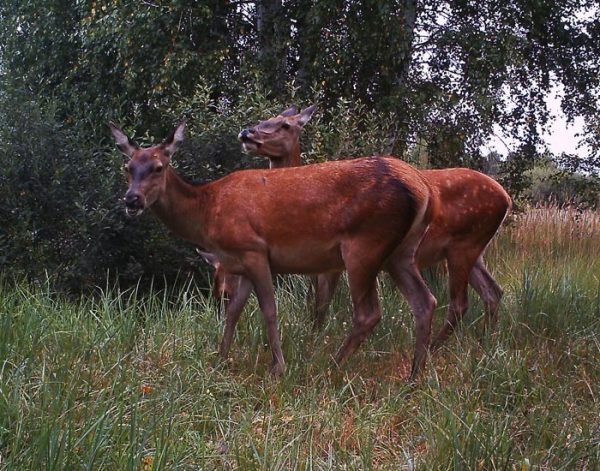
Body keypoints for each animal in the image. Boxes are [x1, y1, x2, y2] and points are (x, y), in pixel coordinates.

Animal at [109, 121, 436, 380]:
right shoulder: (239, 262)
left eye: (158, 167)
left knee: (369, 313)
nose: (132, 199)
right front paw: (220, 360)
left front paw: (278, 367)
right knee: (425, 301)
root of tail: (423, 189)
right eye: (128, 168)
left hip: (364, 245)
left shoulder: (253, 249)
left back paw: (329, 366)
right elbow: (233, 311)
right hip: (401, 252)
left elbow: (269, 309)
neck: (207, 212)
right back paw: (414, 376)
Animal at [206, 106, 510, 350]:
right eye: (264, 118)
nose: (247, 132)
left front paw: (314, 341)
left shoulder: (332, 264)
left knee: (460, 303)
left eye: (286, 125)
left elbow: (321, 305)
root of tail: (506, 198)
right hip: (473, 251)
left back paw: (439, 349)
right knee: (492, 292)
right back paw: (487, 343)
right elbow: (315, 303)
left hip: (461, 245)